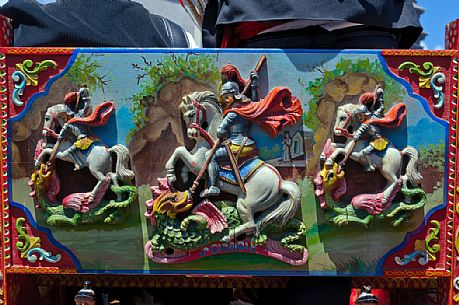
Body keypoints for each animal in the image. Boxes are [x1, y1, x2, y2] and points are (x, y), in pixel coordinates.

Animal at [165, 91, 302, 241]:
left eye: (190, 114)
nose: (191, 134)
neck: (211, 141)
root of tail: (280, 183)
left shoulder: (199, 162)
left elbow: (179, 151)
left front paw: (171, 175)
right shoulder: (196, 162)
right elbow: (182, 158)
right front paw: (183, 177)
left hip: (246, 203)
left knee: (251, 224)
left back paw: (228, 235)